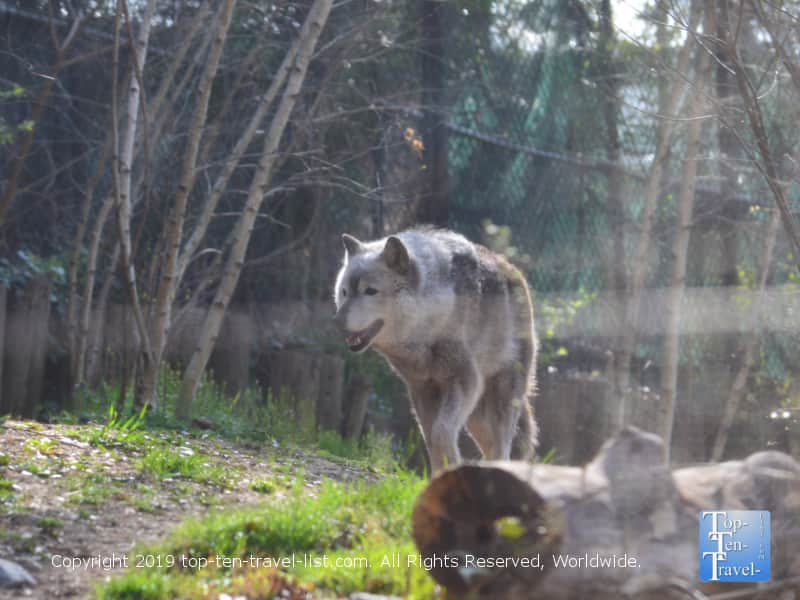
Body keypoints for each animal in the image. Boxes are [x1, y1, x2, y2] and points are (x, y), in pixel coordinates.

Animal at [333, 227, 538, 471]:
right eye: (344, 292)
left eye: (370, 291)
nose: (337, 322)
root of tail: (513, 270)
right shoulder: (421, 389)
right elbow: (431, 439)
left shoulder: (465, 380)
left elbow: (441, 433)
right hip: (477, 415)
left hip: (500, 398)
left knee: (503, 449)